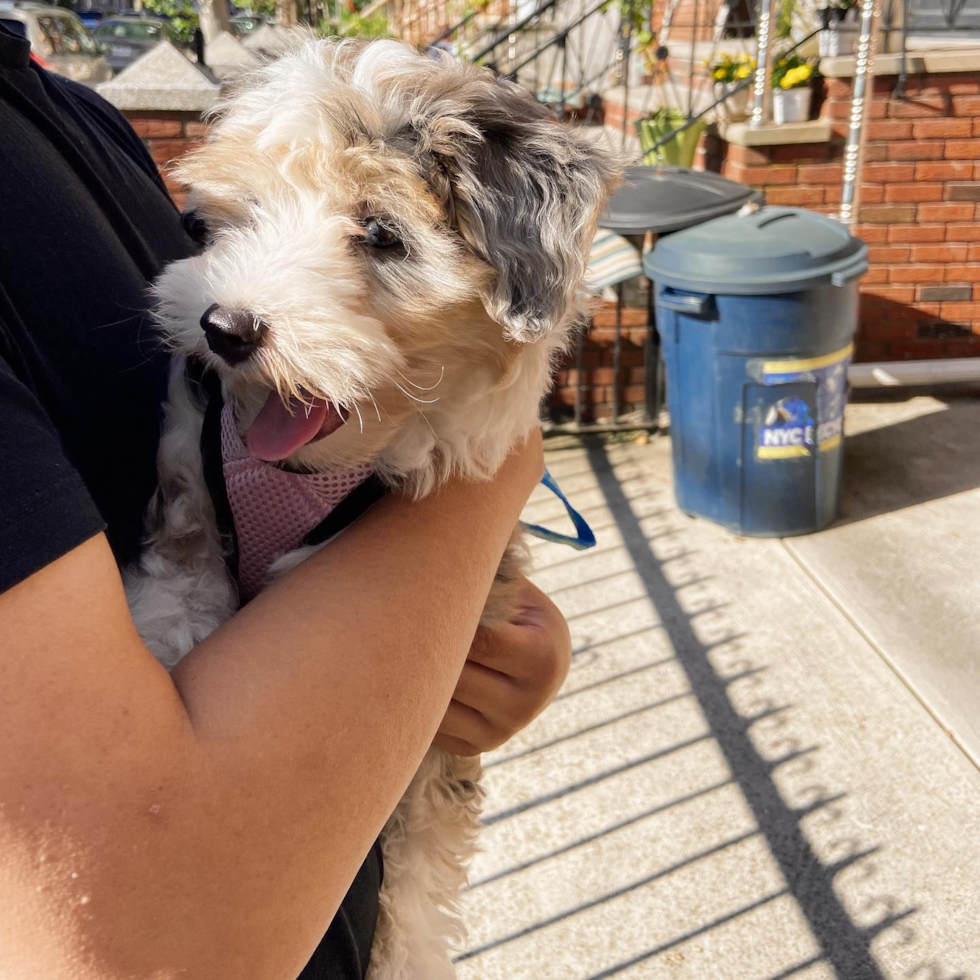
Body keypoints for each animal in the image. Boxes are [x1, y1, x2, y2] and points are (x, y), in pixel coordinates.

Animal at [126, 38, 620, 980]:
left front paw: (409, 947)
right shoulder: (187, 466)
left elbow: (420, 869)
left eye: (383, 234)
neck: (311, 466)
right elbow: (182, 574)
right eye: (241, 211)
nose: (224, 327)